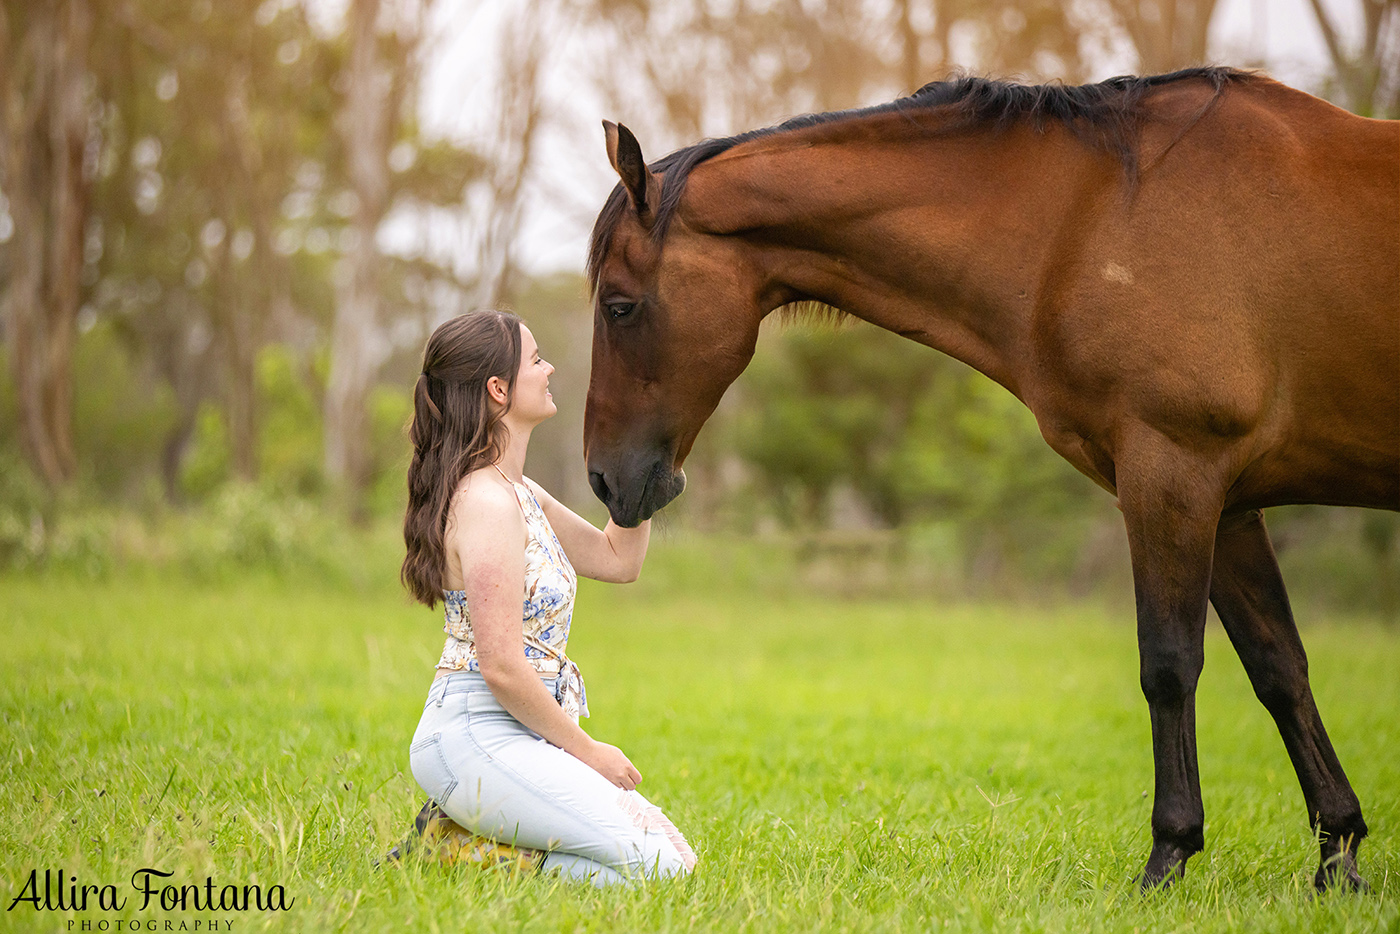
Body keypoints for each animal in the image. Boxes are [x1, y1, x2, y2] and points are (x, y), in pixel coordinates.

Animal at [582, 67, 1400, 890]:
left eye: (620, 306)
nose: (602, 480)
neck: (1091, 220)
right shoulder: (1227, 507)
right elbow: (1280, 668)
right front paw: (1339, 856)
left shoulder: (1172, 475)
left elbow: (1169, 664)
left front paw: (1168, 856)